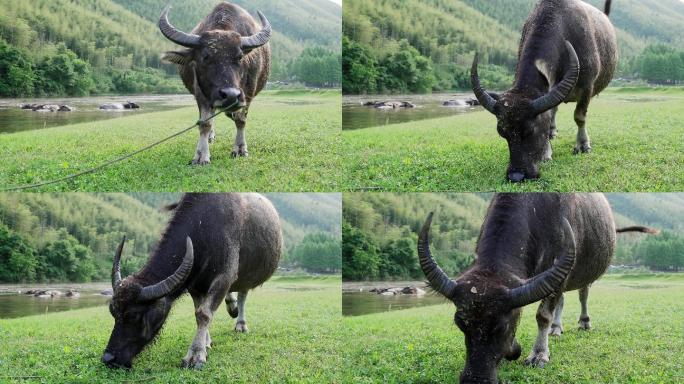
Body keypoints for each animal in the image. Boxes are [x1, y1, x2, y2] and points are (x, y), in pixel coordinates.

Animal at [102, 194, 284, 370]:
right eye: (113, 312)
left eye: (135, 315)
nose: (108, 358)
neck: (204, 229)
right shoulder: (195, 286)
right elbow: (199, 310)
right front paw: (206, 342)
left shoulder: (224, 277)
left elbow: (203, 314)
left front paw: (196, 355)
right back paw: (231, 306)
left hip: (246, 275)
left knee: (243, 295)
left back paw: (240, 323)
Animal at [159, 2, 272, 165]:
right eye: (205, 57)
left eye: (240, 57)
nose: (230, 96)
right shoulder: (201, 93)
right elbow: (205, 123)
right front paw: (201, 155)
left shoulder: (247, 94)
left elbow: (240, 120)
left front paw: (240, 149)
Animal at [416, 194, 656, 382]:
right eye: (460, 323)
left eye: (501, 327)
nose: (475, 379)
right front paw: (515, 348)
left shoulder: (558, 273)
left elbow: (542, 316)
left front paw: (538, 354)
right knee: (562, 301)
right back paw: (556, 328)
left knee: (583, 294)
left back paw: (583, 322)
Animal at [472, 0, 616, 182]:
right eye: (502, 133)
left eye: (530, 130)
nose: (516, 176)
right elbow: (550, 114)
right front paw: (547, 151)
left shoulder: (587, 86)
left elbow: (579, 117)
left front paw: (583, 145)